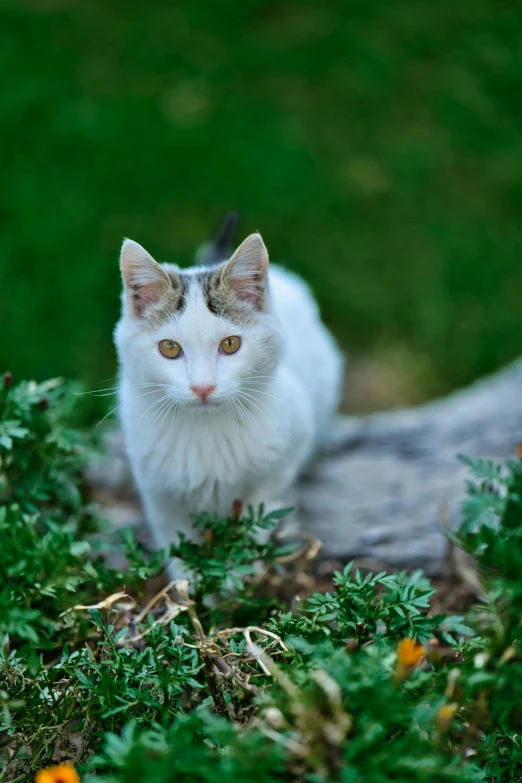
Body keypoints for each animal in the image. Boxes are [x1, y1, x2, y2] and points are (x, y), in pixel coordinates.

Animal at [114, 230, 342, 572]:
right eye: (169, 348)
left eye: (231, 344)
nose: (203, 387)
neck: (206, 427)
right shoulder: (157, 488)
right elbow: (176, 540)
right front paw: (191, 585)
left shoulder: (283, 458)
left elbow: (257, 516)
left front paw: (242, 575)